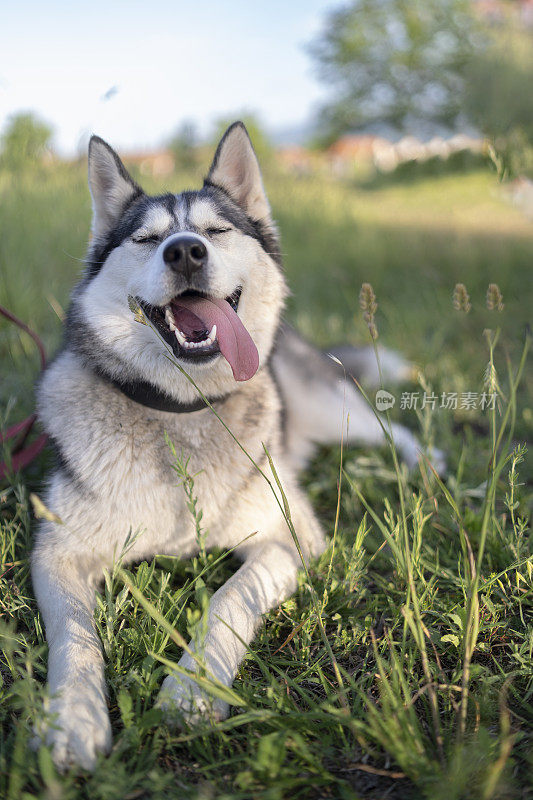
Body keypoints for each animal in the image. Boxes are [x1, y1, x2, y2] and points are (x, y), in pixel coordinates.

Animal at [32, 123, 432, 768]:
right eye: (146, 239)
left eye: (215, 231)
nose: (185, 251)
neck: (183, 411)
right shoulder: (57, 552)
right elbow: (73, 635)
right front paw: (72, 717)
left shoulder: (292, 540)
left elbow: (229, 598)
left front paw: (192, 688)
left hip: (338, 413)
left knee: (397, 432)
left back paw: (427, 468)